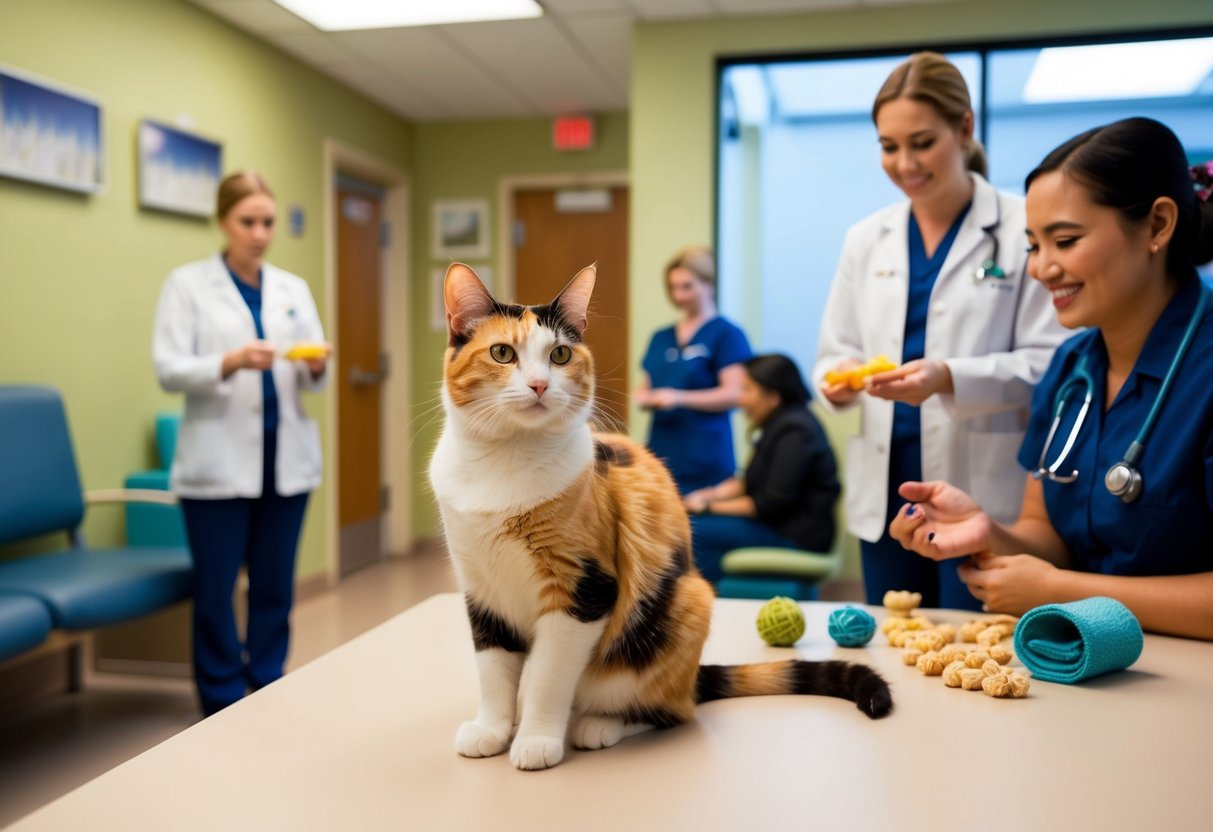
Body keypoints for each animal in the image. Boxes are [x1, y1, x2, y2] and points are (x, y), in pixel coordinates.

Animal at [429, 264, 892, 771]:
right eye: (502, 353)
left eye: (560, 354)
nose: (538, 385)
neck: (503, 464)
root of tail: (692, 678)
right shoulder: (481, 590)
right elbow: (493, 671)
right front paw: (492, 730)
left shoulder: (585, 589)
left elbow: (549, 677)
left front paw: (536, 740)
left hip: (683, 607)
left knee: (670, 710)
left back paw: (599, 725)